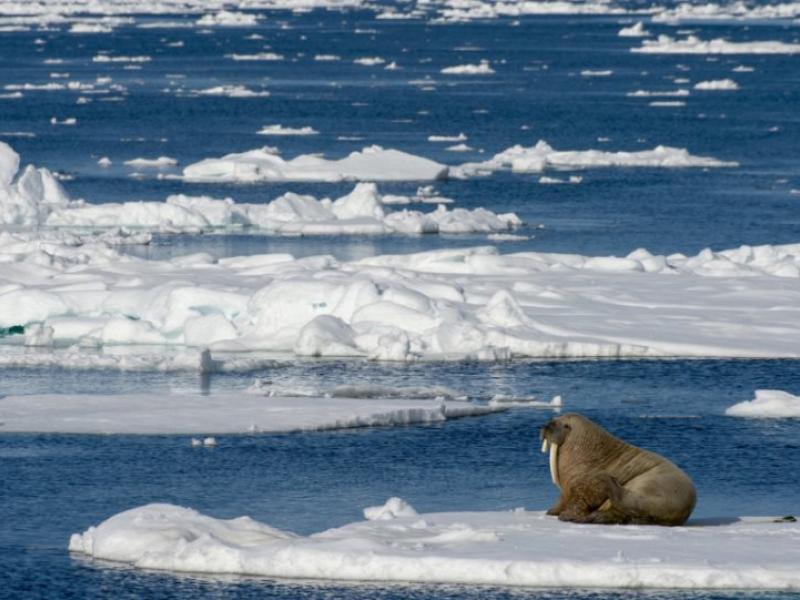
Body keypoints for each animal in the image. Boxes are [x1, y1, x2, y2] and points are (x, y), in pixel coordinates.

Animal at [540, 412, 696, 524]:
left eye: (565, 425)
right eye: (553, 419)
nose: (546, 426)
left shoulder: (582, 485)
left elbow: (581, 499)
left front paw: (565, 515)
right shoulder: (567, 489)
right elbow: (563, 499)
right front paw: (551, 511)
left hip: (650, 487)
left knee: (627, 502)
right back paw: (595, 516)